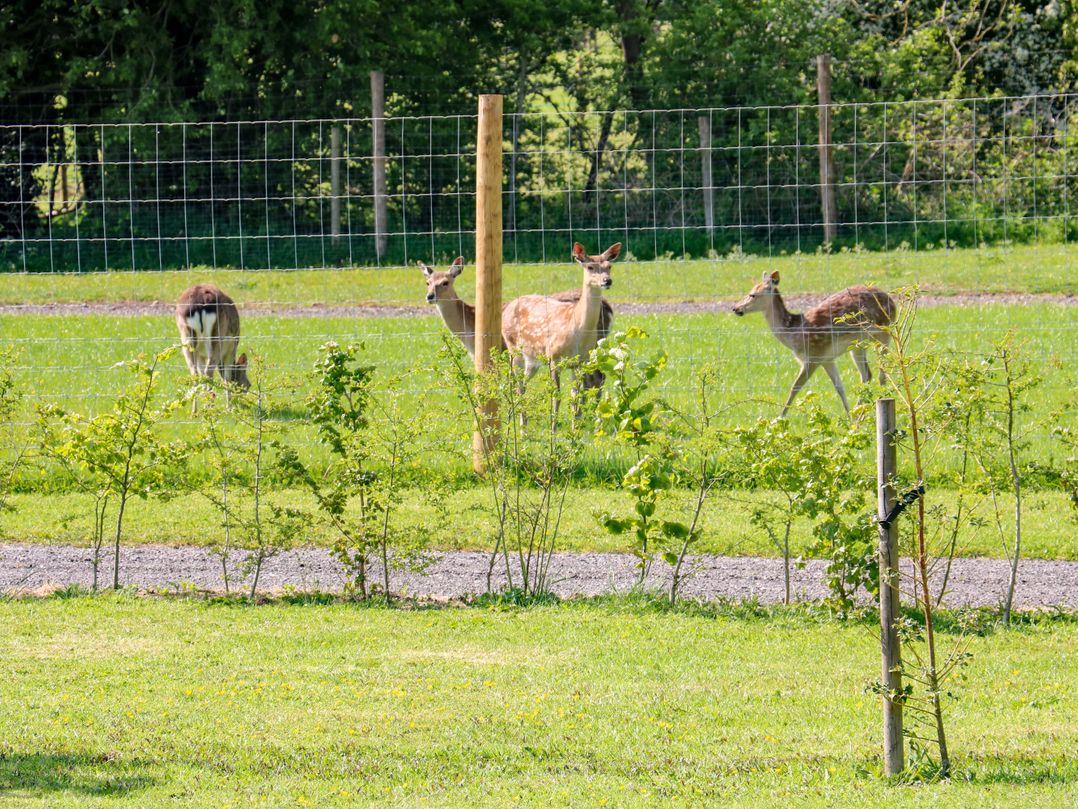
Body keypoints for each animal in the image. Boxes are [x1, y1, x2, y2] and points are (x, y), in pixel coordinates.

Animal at [420, 255, 613, 390]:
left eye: (445, 282)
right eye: (427, 282)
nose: (430, 296)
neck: (470, 328)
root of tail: (608, 308)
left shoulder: (499, 352)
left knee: (596, 377)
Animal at [501, 242, 620, 398]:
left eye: (609, 266)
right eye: (590, 267)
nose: (607, 280)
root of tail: (507, 307)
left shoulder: (580, 361)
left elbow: (575, 394)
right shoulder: (553, 357)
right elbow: (556, 395)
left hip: (532, 356)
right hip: (513, 346)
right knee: (517, 382)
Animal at [732, 271, 895, 416]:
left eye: (753, 294)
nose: (735, 308)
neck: (794, 333)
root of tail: (892, 300)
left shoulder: (813, 356)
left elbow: (795, 387)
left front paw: (779, 418)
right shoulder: (826, 359)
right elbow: (839, 387)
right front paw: (850, 418)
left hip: (885, 332)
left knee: (882, 373)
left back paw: (879, 402)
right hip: (856, 345)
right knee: (867, 375)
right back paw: (860, 413)